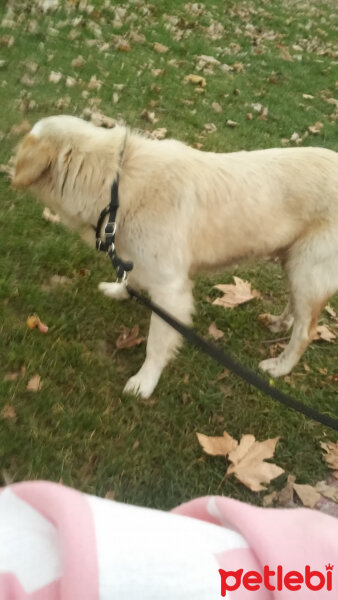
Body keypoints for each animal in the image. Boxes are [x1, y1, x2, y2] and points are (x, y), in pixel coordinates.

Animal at [11, 116, 338, 398]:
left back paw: (279, 367)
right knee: (295, 308)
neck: (116, 185)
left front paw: (144, 382)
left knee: (306, 331)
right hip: (294, 264)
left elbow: (156, 345)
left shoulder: (171, 291)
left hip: (309, 271)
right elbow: (129, 277)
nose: (8, 168)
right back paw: (278, 324)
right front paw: (118, 290)